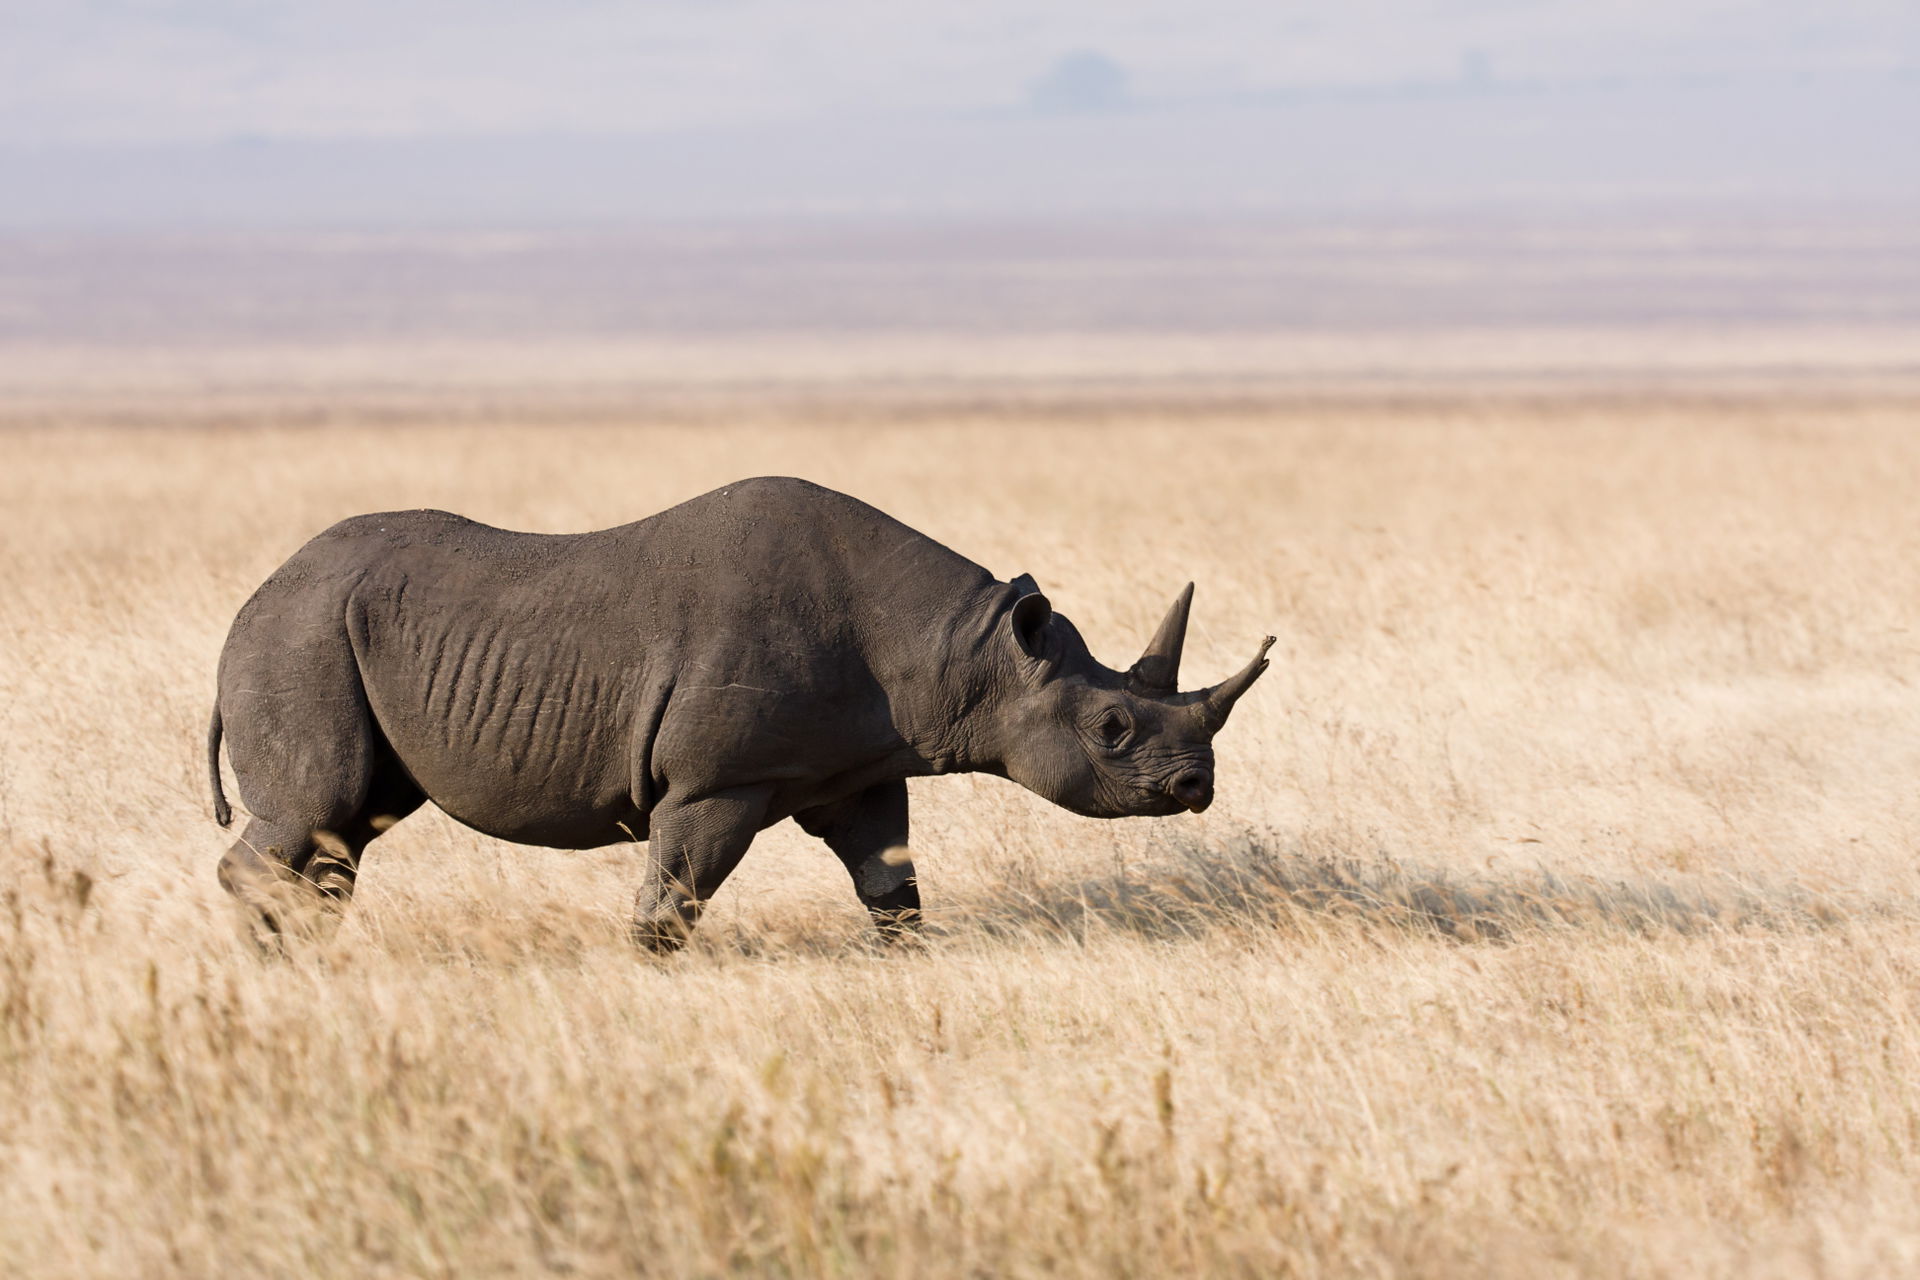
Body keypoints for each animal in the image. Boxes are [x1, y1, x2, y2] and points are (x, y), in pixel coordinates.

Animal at [208, 476, 1271, 947]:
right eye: (1112, 731)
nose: (1197, 785)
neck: (967, 651)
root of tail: (250, 599)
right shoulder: (718, 780)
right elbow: (673, 898)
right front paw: (648, 973)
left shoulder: (859, 765)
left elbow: (892, 885)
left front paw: (906, 961)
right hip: (301, 635)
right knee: (321, 805)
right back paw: (275, 957)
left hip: (325, 632)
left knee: (351, 825)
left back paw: (306, 955)